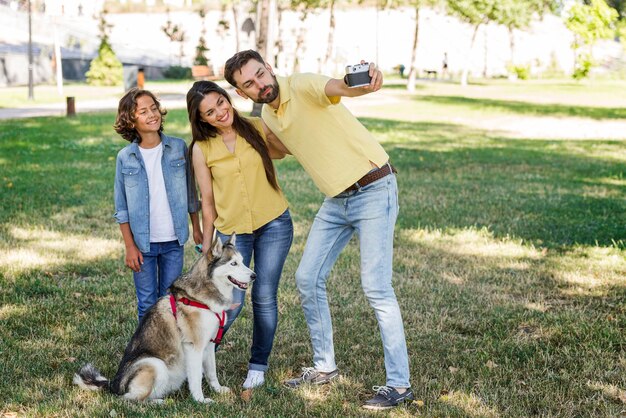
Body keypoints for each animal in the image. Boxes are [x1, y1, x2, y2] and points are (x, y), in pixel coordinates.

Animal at [70, 235, 251, 402]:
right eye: (233, 263)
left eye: (242, 262)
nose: (254, 275)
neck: (203, 298)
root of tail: (114, 384)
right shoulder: (194, 348)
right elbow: (196, 379)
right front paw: (200, 400)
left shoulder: (209, 344)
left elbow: (212, 372)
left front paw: (218, 390)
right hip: (155, 364)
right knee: (130, 399)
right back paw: (158, 403)